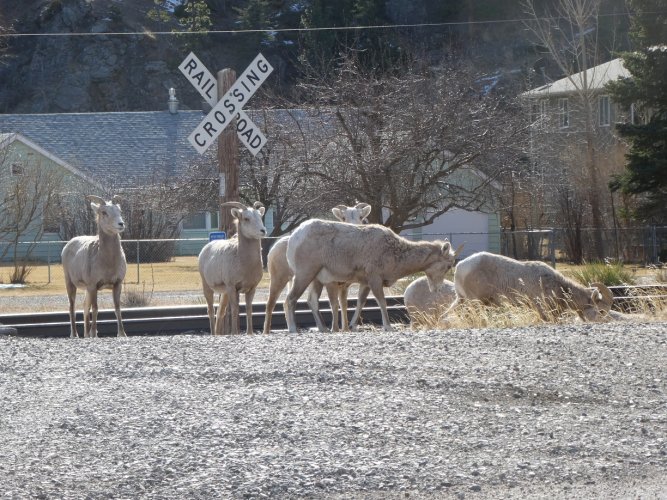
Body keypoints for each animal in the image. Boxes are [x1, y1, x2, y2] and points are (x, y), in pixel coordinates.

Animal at [62, 193, 127, 338]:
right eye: (104, 212)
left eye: (119, 210)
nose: (121, 224)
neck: (108, 262)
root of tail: (68, 245)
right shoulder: (93, 285)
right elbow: (96, 308)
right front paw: (94, 334)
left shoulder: (117, 284)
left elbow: (117, 308)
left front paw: (122, 334)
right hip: (70, 283)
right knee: (72, 307)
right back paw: (75, 335)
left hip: (86, 289)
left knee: (85, 307)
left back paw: (86, 334)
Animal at [198, 201, 266, 334]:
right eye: (246, 218)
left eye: (260, 217)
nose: (263, 231)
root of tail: (205, 249)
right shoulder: (232, 287)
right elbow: (235, 309)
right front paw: (235, 333)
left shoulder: (251, 288)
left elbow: (249, 309)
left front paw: (249, 333)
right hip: (208, 287)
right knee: (210, 310)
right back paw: (213, 334)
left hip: (224, 293)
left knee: (220, 312)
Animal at [260, 201, 374, 334]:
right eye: (343, 218)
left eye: (361, 217)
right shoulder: (332, 282)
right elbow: (335, 304)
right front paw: (336, 329)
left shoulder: (345, 285)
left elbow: (348, 304)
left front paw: (346, 328)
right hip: (281, 278)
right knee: (272, 303)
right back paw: (270, 331)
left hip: (311, 280)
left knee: (306, 301)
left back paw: (320, 328)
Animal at [284, 220, 462, 332]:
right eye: (448, 265)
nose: (436, 289)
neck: (394, 253)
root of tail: (294, 238)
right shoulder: (375, 279)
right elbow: (382, 302)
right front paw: (388, 327)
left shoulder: (365, 283)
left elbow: (360, 303)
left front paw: (352, 326)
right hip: (305, 274)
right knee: (290, 299)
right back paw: (293, 329)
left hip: (316, 279)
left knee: (312, 301)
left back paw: (324, 329)